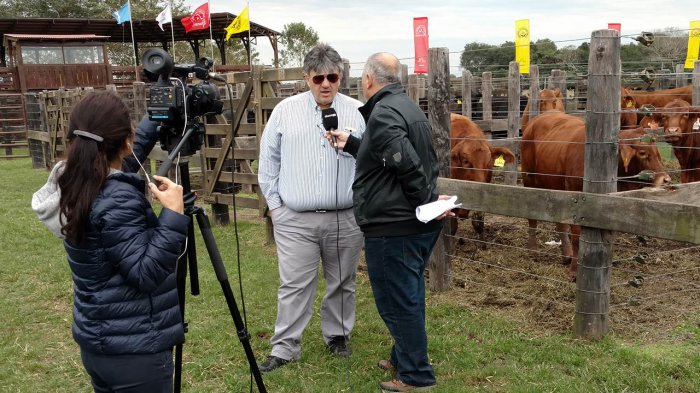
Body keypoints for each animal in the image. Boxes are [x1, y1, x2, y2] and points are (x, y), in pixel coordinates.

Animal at [524, 112, 668, 280]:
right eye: (642, 153)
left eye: (657, 153)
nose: (666, 179)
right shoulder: (577, 203)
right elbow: (576, 238)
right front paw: (575, 270)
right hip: (529, 179)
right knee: (532, 219)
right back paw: (533, 249)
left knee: (560, 224)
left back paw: (566, 254)